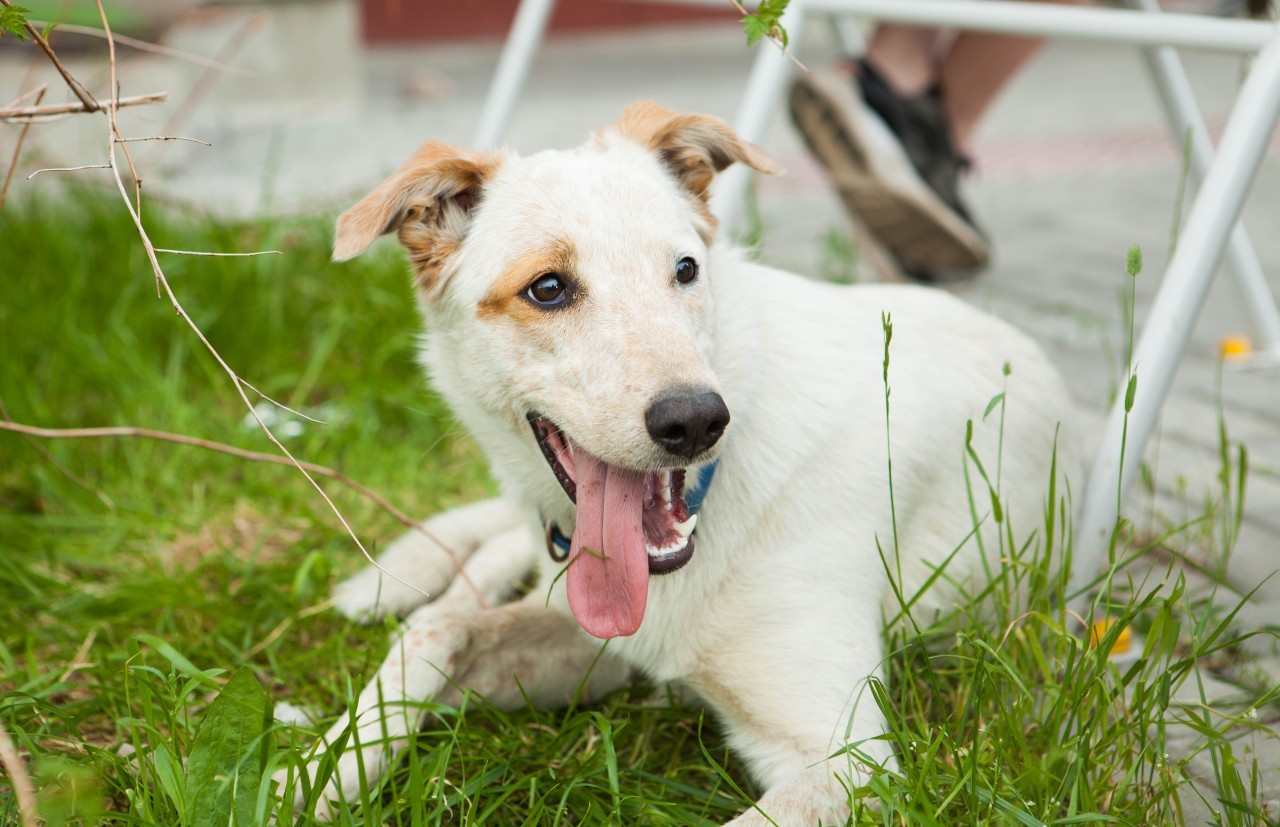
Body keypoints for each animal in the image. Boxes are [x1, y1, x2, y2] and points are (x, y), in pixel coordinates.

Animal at [302, 100, 1080, 824]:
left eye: (685, 269)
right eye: (547, 288)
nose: (697, 419)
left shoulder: (849, 763)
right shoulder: (597, 643)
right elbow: (439, 633)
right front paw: (316, 771)